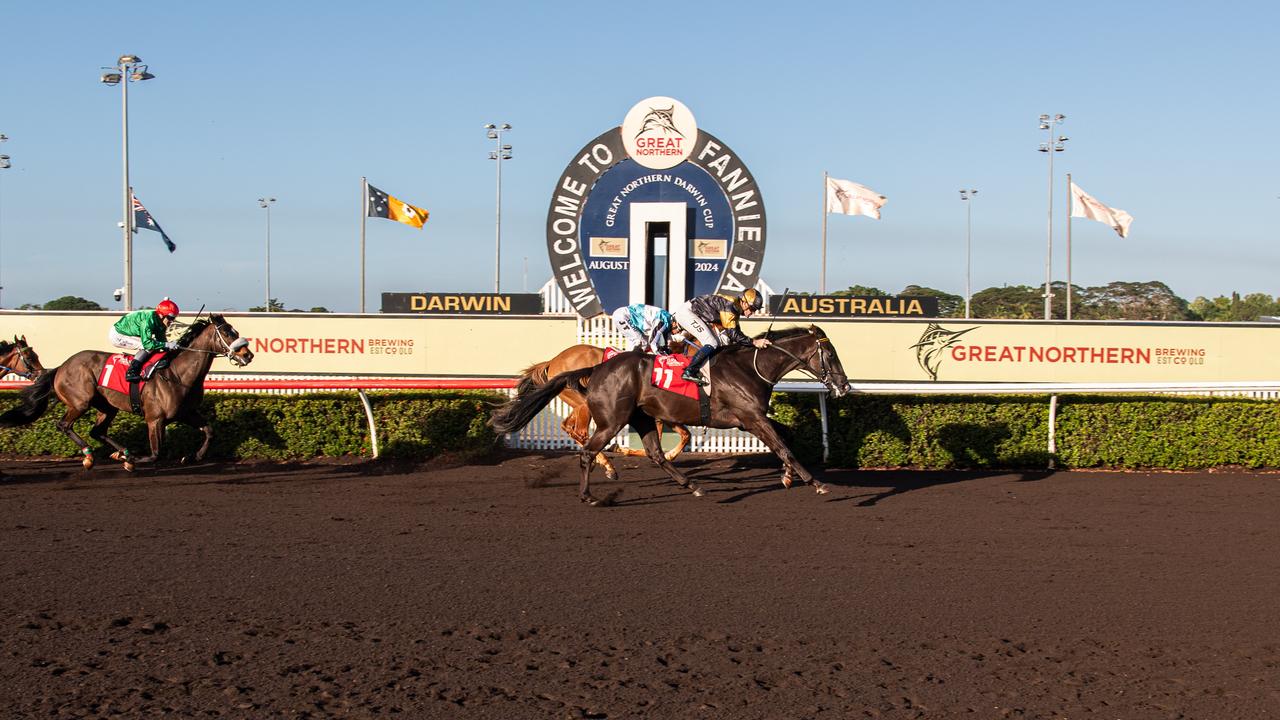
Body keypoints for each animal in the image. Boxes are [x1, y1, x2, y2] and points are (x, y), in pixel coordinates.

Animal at [0, 313, 253, 471]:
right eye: (228, 333)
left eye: (236, 330)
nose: (248, 355)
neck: (178, 374)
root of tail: (61, 367)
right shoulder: (155, 419)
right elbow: (156, 453)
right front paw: (131, 460)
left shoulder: (186, 413)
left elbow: (209, 431)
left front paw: (193, 456)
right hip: (80, 401)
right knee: (64, 425)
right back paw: (92, 456)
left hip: (106, 406)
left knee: (97, 431)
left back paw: (121, 452)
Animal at [514, 340, 691, 476]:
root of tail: (553, 361)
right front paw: (622, 449)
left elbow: (684, 435)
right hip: (584, 404)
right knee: (581, 432)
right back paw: (606, 465)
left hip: (578, 404)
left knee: (567, 426)